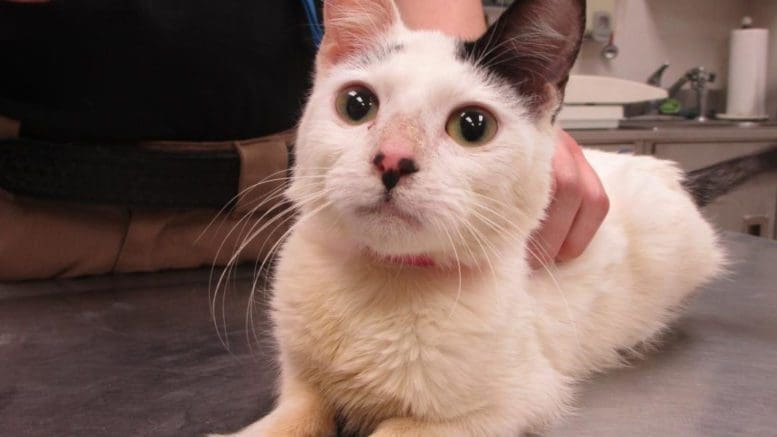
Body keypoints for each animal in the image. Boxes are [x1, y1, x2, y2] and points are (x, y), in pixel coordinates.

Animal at [224, 0, 764, 434]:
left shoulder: (514, 402)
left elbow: (400, 429)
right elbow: (297, 411)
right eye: (356, 104)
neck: (381, 287)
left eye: (472, 126)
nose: (392, 159)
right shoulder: (299, 379)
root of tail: (669, 172)